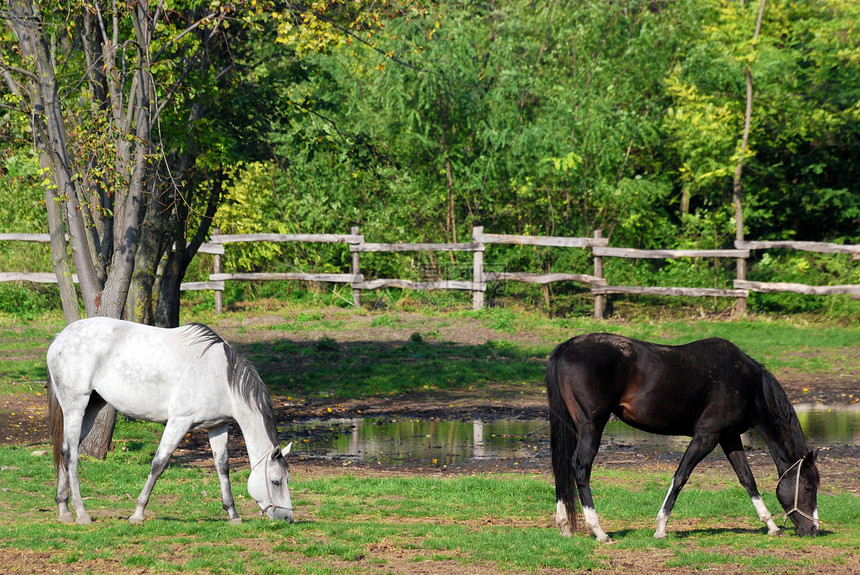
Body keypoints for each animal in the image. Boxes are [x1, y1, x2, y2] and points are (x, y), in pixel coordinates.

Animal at [47, 320, 296, 528]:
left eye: (287, 480)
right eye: (275, 482)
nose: (287, 518)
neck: (220, 376)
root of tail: (60, 338)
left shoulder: (217, 426)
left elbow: (222, 467)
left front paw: (233, 514)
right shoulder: (179, 422)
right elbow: (159, 463)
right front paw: (138, 513)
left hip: (92, 406)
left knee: (63, 450)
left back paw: (64, 509)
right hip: (75, 406)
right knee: (71, 454)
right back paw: (81, 513)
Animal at [544, 336, 820, 544]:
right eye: (808, 487)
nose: (813, 529)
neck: (749, 385)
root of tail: (567, 346)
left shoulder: (729, 437)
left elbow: (747, 479)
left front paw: (771, 525)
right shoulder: (707, 436)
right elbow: (681, 476)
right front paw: (661, 528)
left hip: (574, 427)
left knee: (562, 467)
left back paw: (565, 525)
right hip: (592, 426)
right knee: (580, 467)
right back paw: (599, 531)